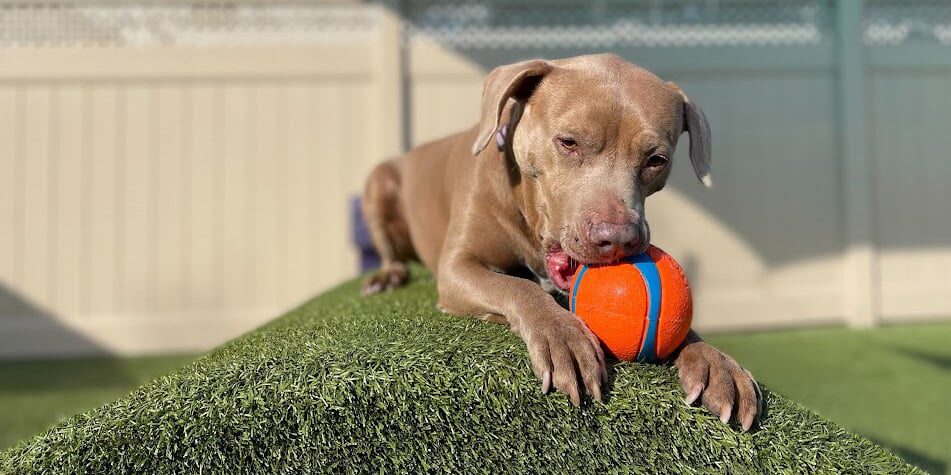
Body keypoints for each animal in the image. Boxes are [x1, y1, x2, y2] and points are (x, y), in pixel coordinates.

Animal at [360, 53, 764, 432]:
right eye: (568, 142)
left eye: (657, 160)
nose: (618, 239)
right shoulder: (458, 266)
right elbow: (518, 287)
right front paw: (562, 337)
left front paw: (714, 361)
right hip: (377, 184)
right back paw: (387, 277)